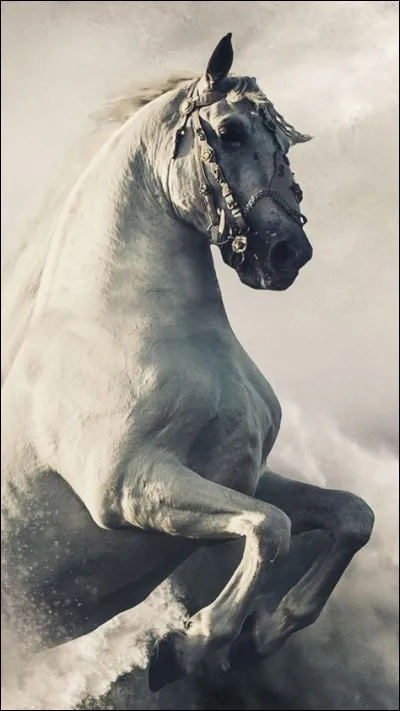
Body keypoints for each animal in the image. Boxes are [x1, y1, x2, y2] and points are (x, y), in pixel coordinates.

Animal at [1, 33, 374, 692]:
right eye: (229, 132)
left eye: (285, 144)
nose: (288, 253)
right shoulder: (135, 488)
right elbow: (270, 529)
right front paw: (189, 645)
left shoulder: (242, 476)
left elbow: (351, 515)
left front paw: (261, 635)